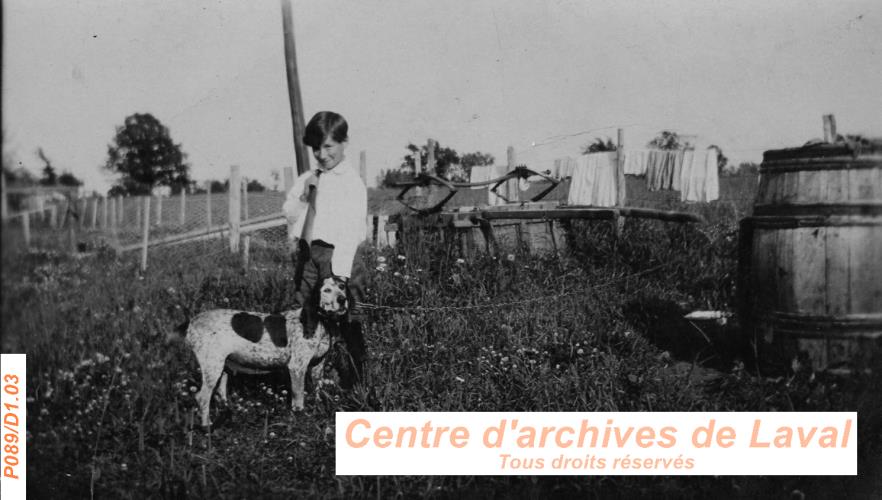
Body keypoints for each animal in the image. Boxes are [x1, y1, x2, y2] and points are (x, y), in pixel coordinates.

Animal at [175, 276, 350, 428]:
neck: (322, 322)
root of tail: (191, 321)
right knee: (202, 397)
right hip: (212, 366)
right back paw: (207, 428)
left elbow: (317, 391)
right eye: (326, 290)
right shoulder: (297, 367)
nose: (342, 299)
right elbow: (298, 397)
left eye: (342, 286)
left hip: (222, 366)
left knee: (220, 392)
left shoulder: (318, 366)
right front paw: (300, 418)